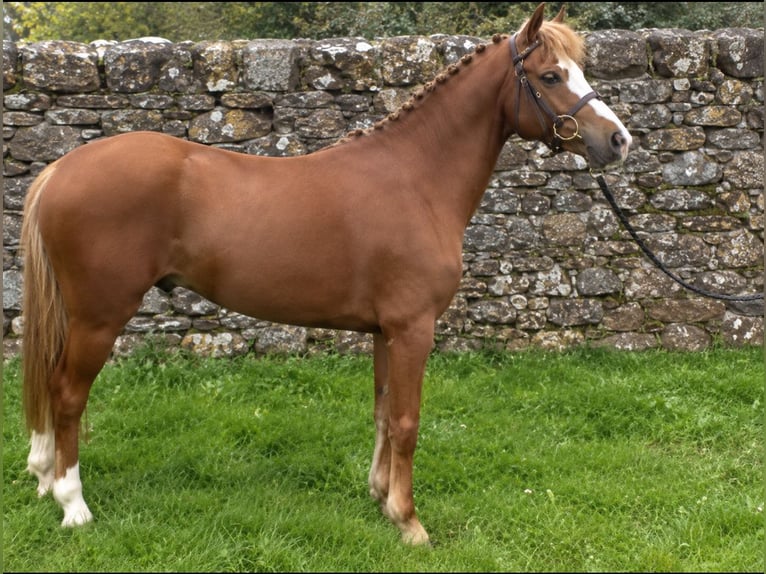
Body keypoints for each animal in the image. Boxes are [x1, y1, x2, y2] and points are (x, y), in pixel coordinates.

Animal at [21, 2, 631, 545]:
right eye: (550, 75)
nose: (618, 140)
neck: (416, 178)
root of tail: (60, 169)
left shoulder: (386, 332)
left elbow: (383, 415)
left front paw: (383, 501)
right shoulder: (413, 328)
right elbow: (407, 422)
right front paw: (410, 523)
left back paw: (45, 480)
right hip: (100, 316)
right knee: (67, 393)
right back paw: (73, 505)